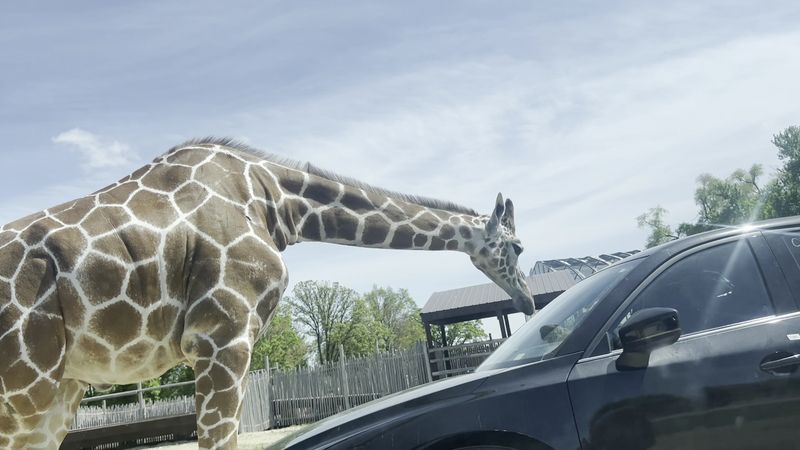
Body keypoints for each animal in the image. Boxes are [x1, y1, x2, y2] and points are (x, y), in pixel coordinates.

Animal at [0, 138, 534, 450]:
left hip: (62, 385)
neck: (276, 201)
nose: (527, 302)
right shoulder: (222, 336)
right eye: (518, 246)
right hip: (26, 383)